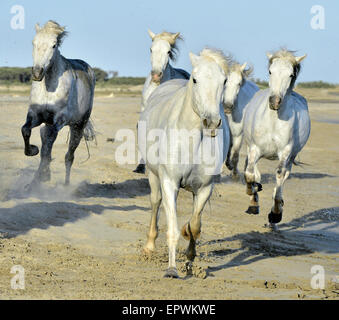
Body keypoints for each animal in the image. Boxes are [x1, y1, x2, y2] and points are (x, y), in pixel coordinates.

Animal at [21, 21, 95, 188]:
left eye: (54, 45)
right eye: (33, 42)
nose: (37, 73)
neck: (49, 88)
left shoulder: (59, 120)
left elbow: (49, 146)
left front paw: (42, 176)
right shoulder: (36, 116)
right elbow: (26, 131)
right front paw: (33, 151)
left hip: (78, 126)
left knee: (69, 156)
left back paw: (65, 186)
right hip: (46, 125)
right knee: (46, 145)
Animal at [139, 48, 231, 278]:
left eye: (224, 81)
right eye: (195, 80)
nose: (211, 122)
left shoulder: (205, 188)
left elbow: (195, 226)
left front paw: (189, 260)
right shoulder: (170, 183)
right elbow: (172, 228)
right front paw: (172, 269)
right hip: (154, 176)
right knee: (155, 203)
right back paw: (149, 247)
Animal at [243, 48, 312, 226]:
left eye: (291, 74)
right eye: (270, 71)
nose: (274, 101)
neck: (273, 121)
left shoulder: (285, 152)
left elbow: (280, 175)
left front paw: (275, 214)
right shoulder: (255, 149)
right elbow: (250, 174)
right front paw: (252, 193)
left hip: (291, 157)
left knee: (284, 175)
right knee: (254, 172)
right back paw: (254, 200)